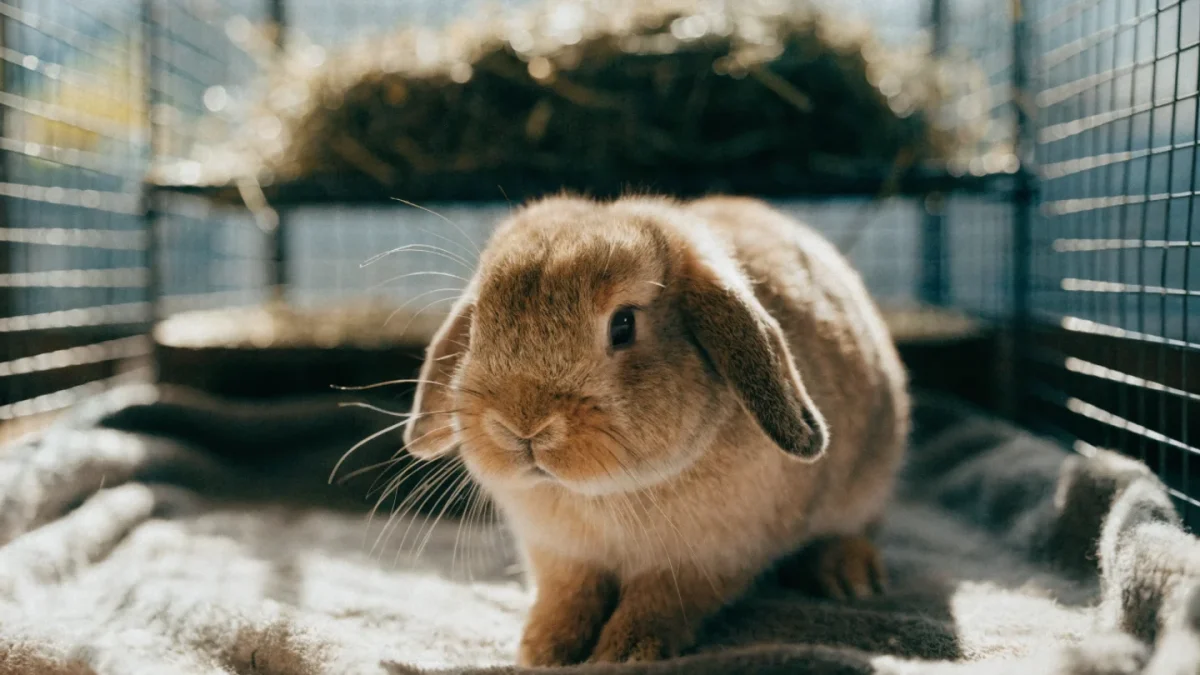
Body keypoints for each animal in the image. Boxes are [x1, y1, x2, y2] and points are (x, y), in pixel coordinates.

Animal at [403, 194, 909, 665]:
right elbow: (567, 599)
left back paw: (851, 577)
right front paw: (543, 649)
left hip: (865, 484)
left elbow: (656, 604)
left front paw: (624, 652)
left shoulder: (702, 561)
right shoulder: (562, 557)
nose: (522, 424)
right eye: (476, 327)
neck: (605, 492)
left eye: (623, 324)